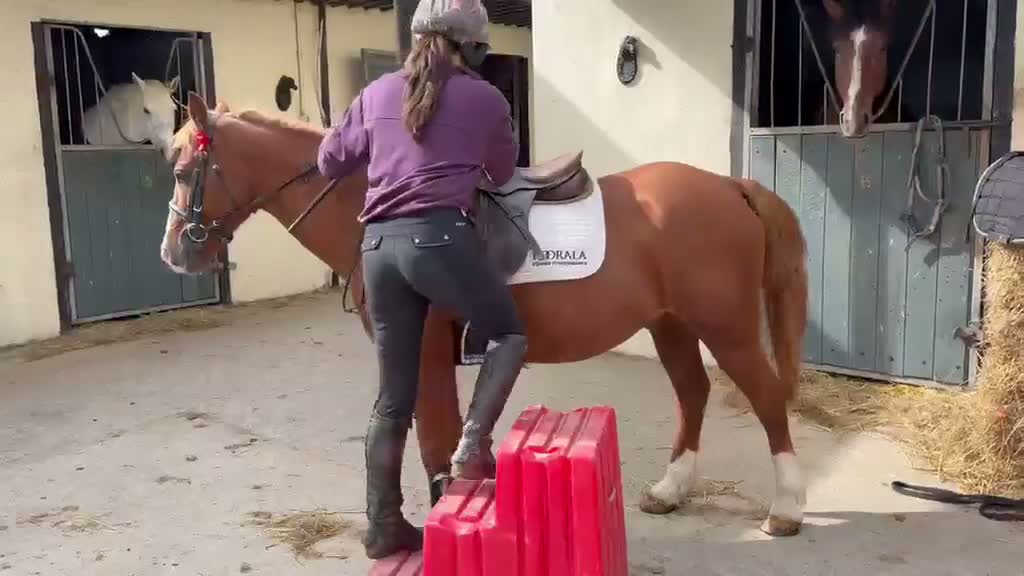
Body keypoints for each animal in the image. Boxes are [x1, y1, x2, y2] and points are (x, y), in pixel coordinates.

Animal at [159, 92, 811, 536]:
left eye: (183, 170)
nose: (174, 254)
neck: (392, 210)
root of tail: (729, 185)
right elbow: (437, 430)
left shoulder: (423, 347)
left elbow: (433, 435)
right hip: (670, 324)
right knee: (693, 392)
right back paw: (671, 490)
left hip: (726, 328)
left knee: (766, 396)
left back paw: (785, 509)